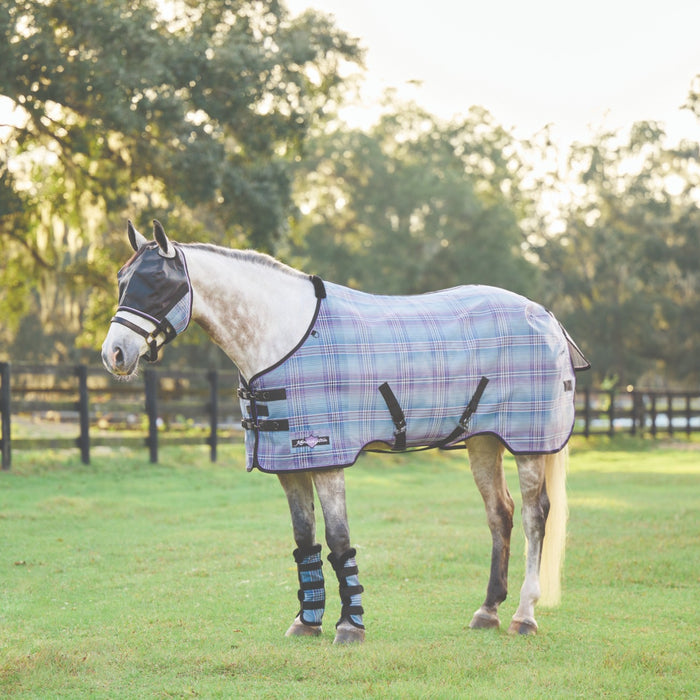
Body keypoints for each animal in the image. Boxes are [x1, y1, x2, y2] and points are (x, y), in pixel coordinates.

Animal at [101, 219, 589, 644]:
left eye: (158, 283)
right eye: (122, 279)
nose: (115, 354)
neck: (284, 337)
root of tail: (547, 318)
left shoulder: (327, 457)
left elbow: (339, 540)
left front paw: (350, 626)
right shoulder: (290, 463)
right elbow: (305, 541)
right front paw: (307, 621)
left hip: (529, 446)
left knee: (533, 517)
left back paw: (524, 615)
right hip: (484, 440)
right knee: (499, 514)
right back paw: (487, 610)